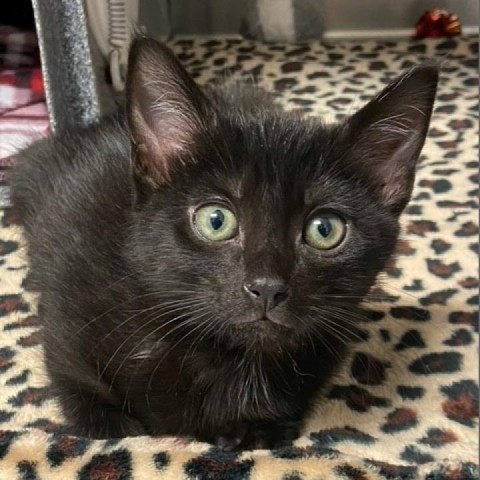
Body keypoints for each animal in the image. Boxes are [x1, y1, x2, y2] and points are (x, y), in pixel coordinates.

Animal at [10, 38, 438, 450]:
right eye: (215, 221)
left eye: (324, 229)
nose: (267, 287)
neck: (234, 362)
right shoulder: (67, 327)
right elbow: (99, 416)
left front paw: (254, 429)